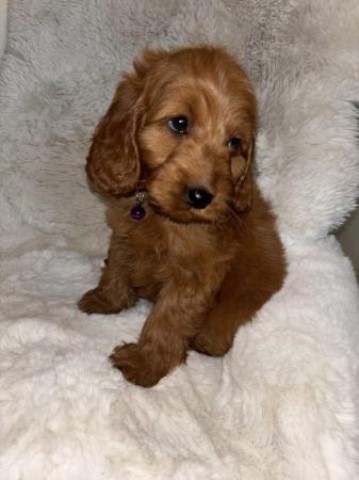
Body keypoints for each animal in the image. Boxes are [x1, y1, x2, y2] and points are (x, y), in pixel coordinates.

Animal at [79, 47, 286, 388]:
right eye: (179, 123)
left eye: (234, 143)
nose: (201, 198)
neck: (159, 214)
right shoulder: (124, 232)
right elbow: (117, 266)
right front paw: (106, 299)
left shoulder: (196, 271)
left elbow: (168, 317)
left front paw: (145, 363)